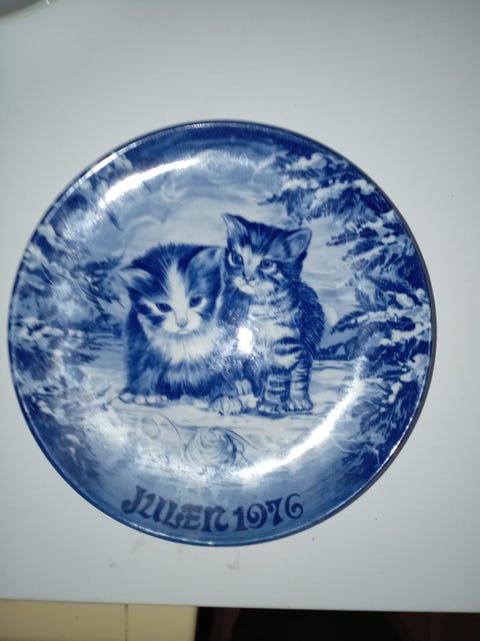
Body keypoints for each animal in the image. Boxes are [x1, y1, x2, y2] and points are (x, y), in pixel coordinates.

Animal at [119, 243, 243, 414]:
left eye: (196, 301)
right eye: (163, 307)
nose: (182, 323)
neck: (185, 339)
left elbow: (223, 366)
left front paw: (225, 396)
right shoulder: (140, 335)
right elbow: (143, 363)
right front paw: (140, 392)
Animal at [219, 214, 324, 415]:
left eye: (266, 264)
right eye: (237, 258)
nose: (246, 276)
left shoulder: (286, 344)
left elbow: (278, 376)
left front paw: (271, 402)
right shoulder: (234, 332)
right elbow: (234, 359)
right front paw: (237, 384)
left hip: (306, 340)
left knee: (301, 370)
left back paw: (298, 399)